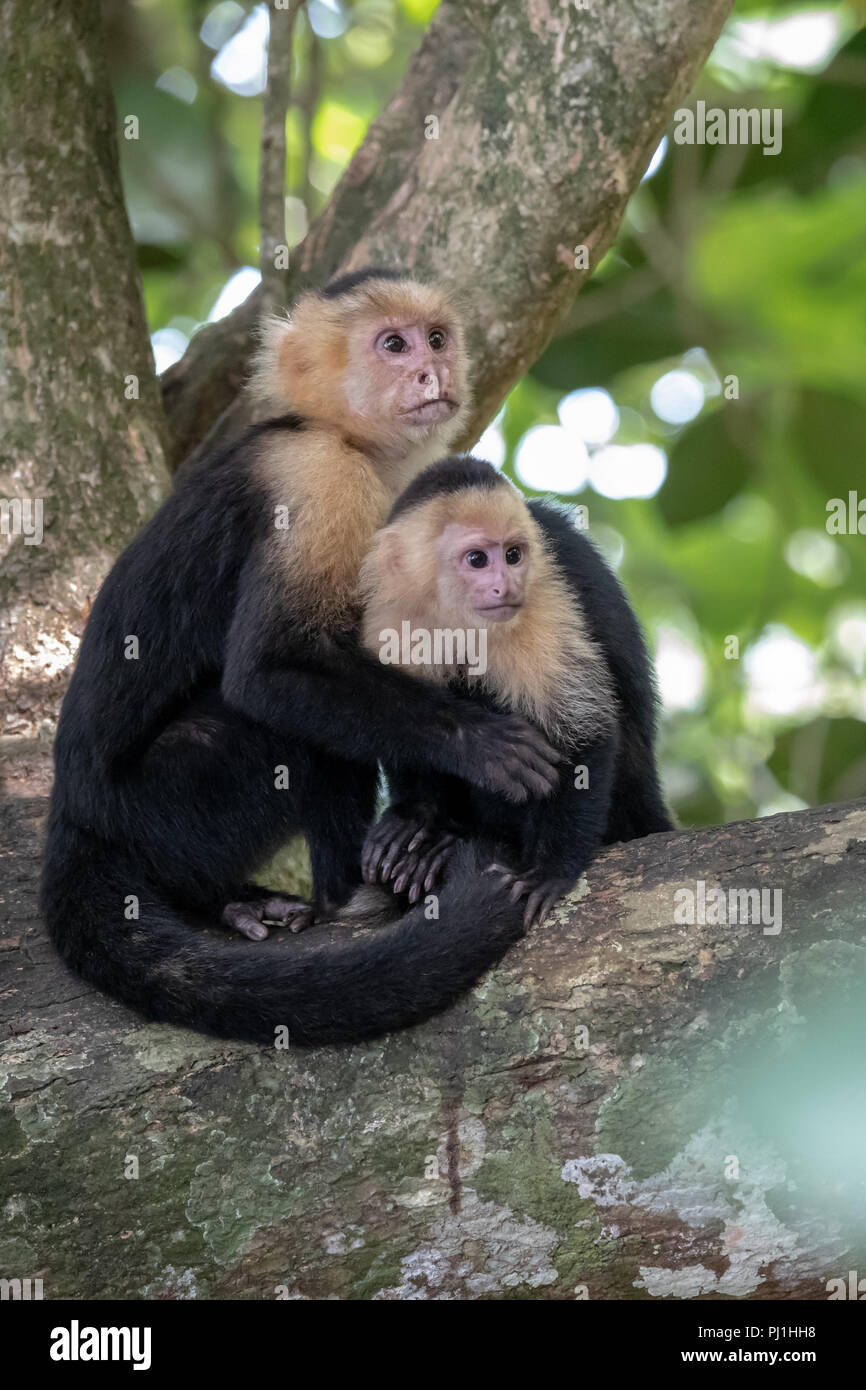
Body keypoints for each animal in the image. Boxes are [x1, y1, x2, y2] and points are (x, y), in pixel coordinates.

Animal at [40, 271, 561, 1046]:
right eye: (394, 345)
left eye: (436, 339)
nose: (430, 371)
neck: (346, 438)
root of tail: (69, 815)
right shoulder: (313, 479)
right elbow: (269, 669)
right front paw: (481, 746)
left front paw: (427, 826)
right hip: (157, 807)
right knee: (288, 735)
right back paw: (307, 898)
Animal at [358, 454, 674, 927]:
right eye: (477, 559)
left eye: (512, 555)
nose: (505, 586)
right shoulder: (392, 607)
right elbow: (406, 715)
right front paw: (418, 819)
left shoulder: (541, 598)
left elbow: (581, 729)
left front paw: (549, 870)